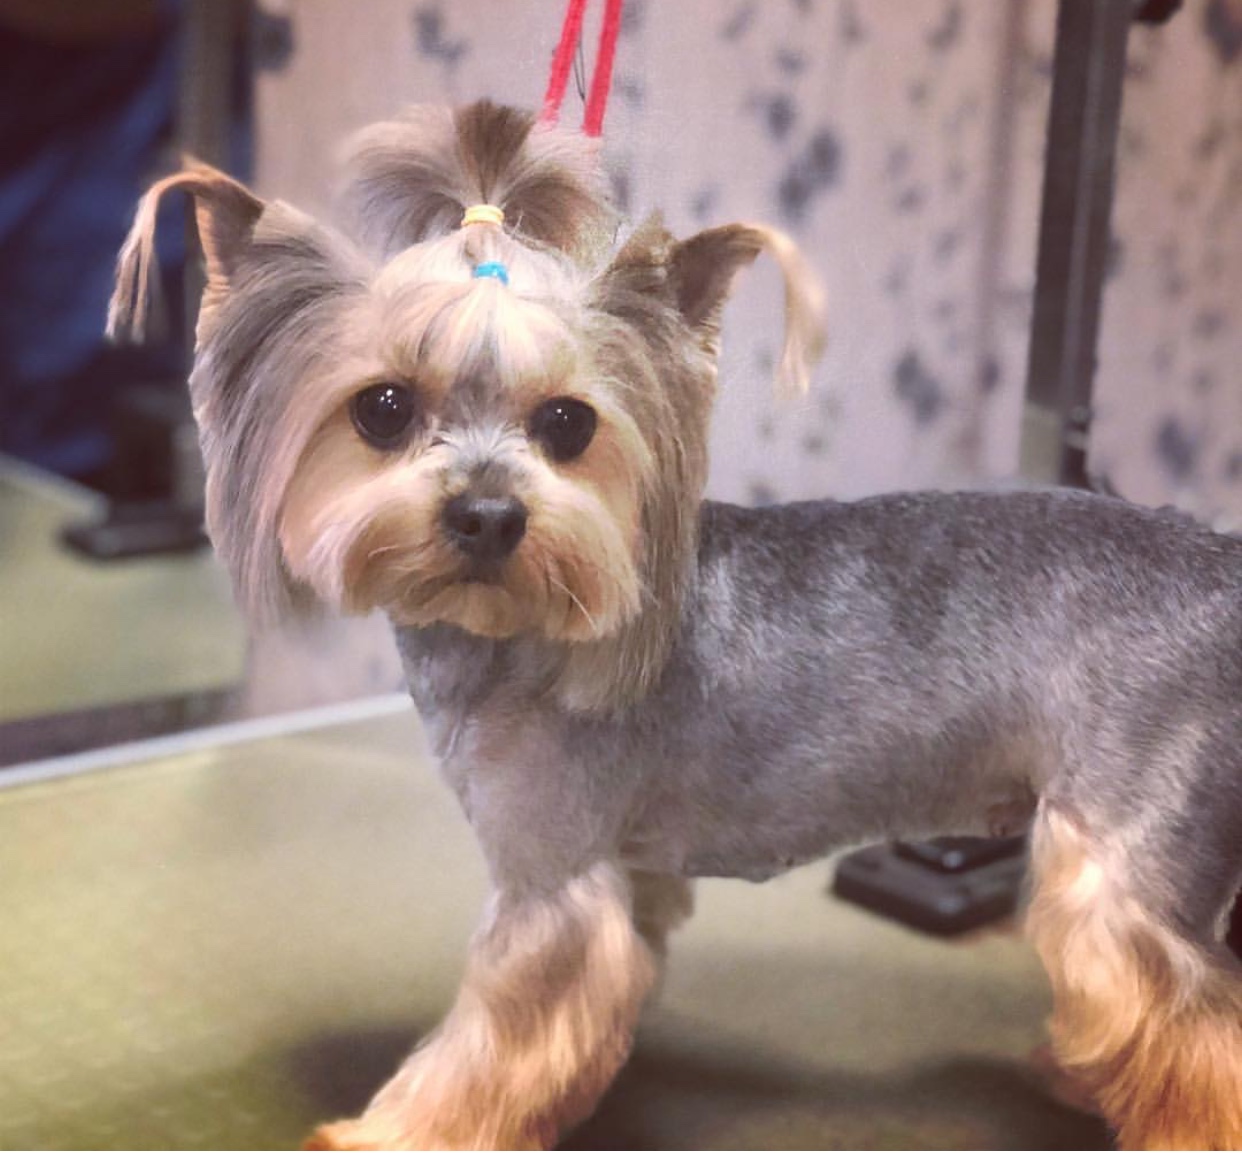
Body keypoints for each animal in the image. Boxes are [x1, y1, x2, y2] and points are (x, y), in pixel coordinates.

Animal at [111, 101, 1242, 1148]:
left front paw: (396, 1132)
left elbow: (490, 1039)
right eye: (382, 409)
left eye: (568, 423)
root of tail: (1222, 568)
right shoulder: (631, 875)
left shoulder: (549, 875)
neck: (510, 633)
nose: (488, 515)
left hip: (1119, 868)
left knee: (1194, 1026)